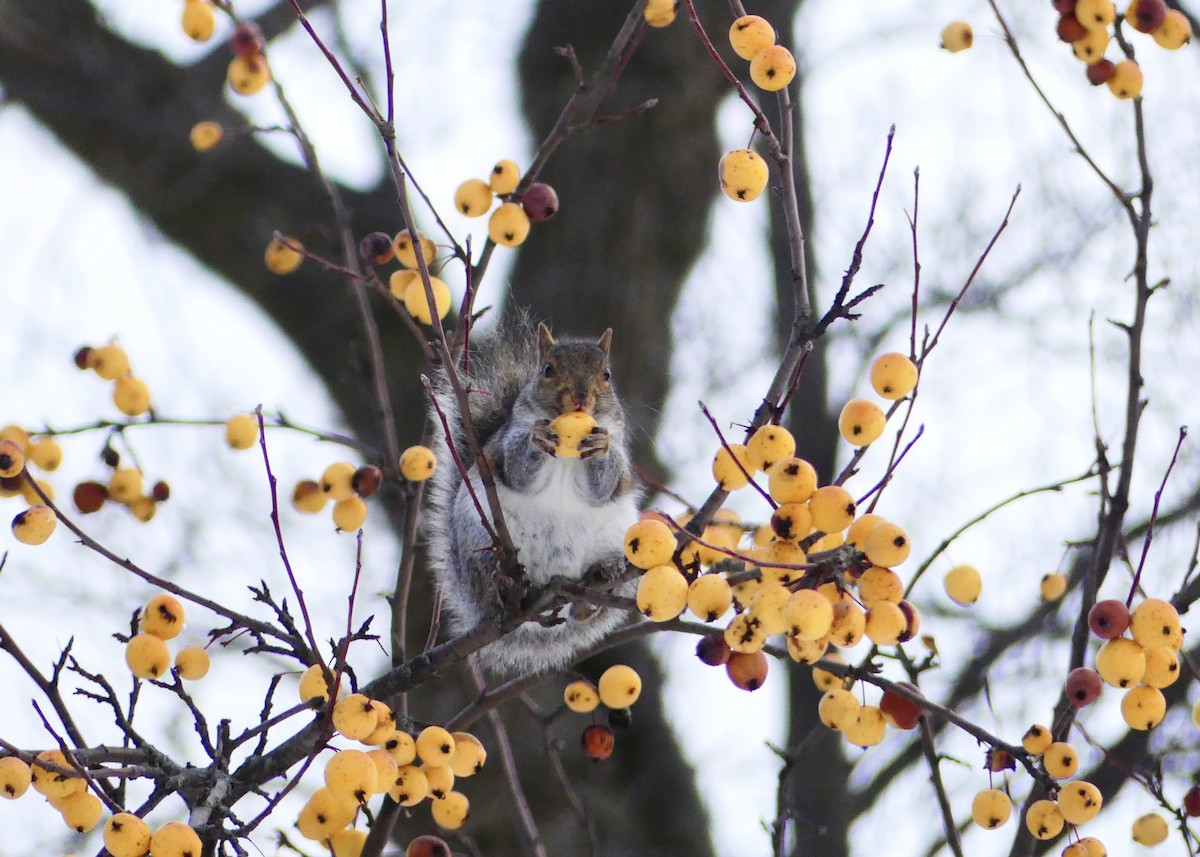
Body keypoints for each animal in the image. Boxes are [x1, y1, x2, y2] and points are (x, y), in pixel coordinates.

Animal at [425, 320, 640, 675]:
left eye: (606, 374)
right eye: (548, 370)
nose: (581, 398)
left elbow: (602, 487)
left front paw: (601, 446)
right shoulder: (507, 445)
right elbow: (518, 470)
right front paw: (536, 438)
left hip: (617, 538)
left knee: (585, 608)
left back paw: (599, 584)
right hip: (481, 539)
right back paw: (501, 588)